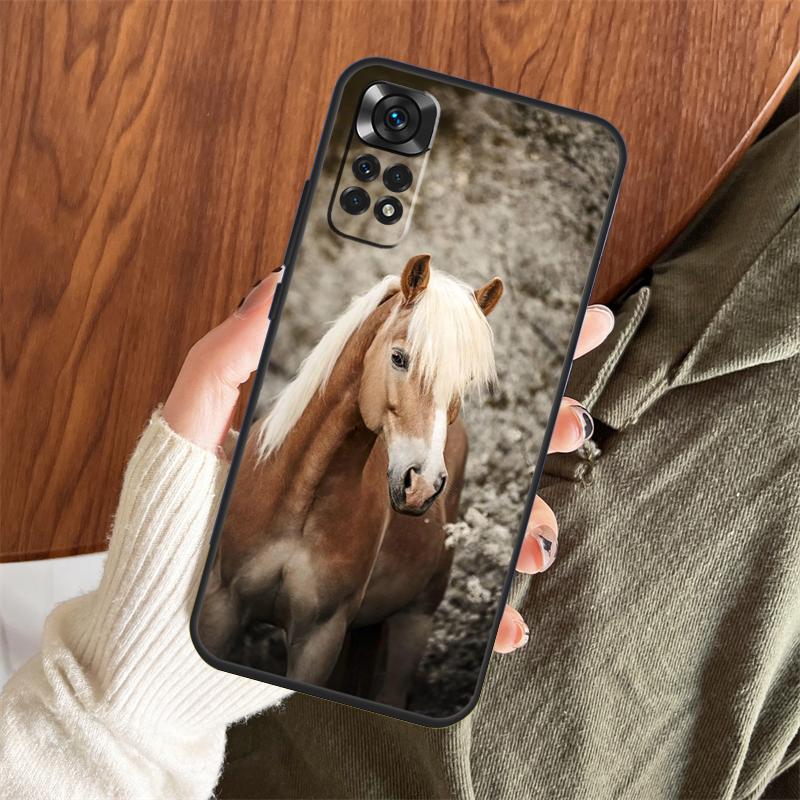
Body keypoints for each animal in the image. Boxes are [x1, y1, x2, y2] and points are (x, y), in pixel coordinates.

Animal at [199, 253, 503, 707]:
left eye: (464, 383)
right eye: (399, 358)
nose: (422, 485)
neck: (300, 499)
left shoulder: (319, 638)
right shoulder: (221, 607)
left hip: (413, 622)